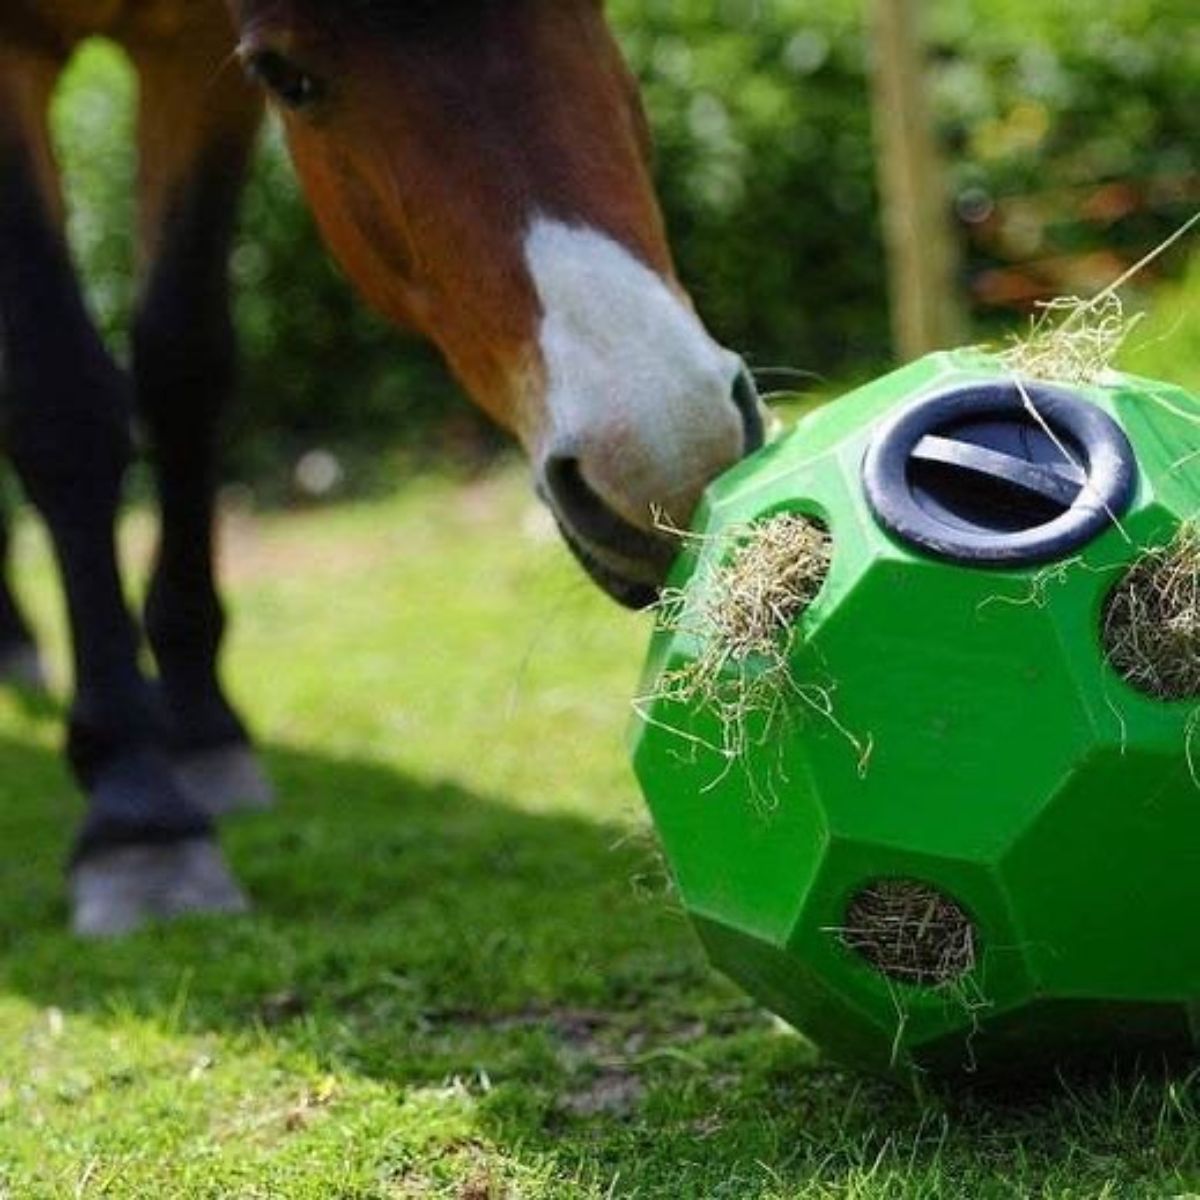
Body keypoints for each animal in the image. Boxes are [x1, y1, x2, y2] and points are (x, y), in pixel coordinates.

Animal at [0, 0, 763, 936]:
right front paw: (136, 811)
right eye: (289, 77)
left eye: (593, 8)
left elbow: (183, 361)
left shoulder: (191, 58)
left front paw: (203, 723)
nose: (667, 462)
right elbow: (59, 399)